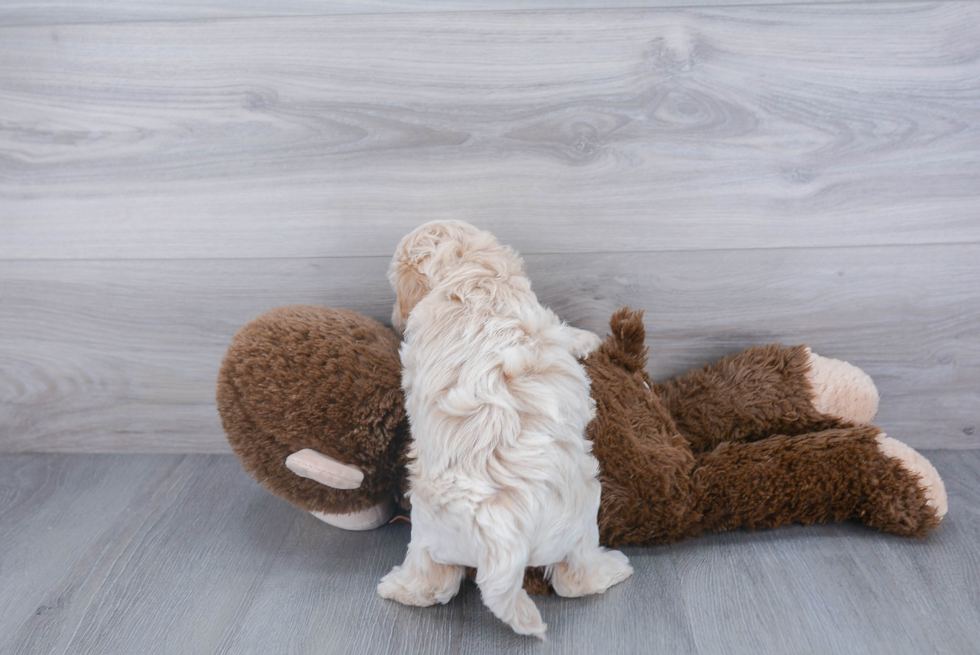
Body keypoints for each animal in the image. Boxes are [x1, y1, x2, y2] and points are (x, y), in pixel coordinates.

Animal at [378, 219, 632, 636]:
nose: (393, 317)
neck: (467, 275)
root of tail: (503, 543)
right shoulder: (544, 317)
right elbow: (567, 331)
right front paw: (590, 339)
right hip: (581, 518)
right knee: (576, 578)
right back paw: (613, 569)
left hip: (428, 534)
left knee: (435, 580)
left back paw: (398, 588)